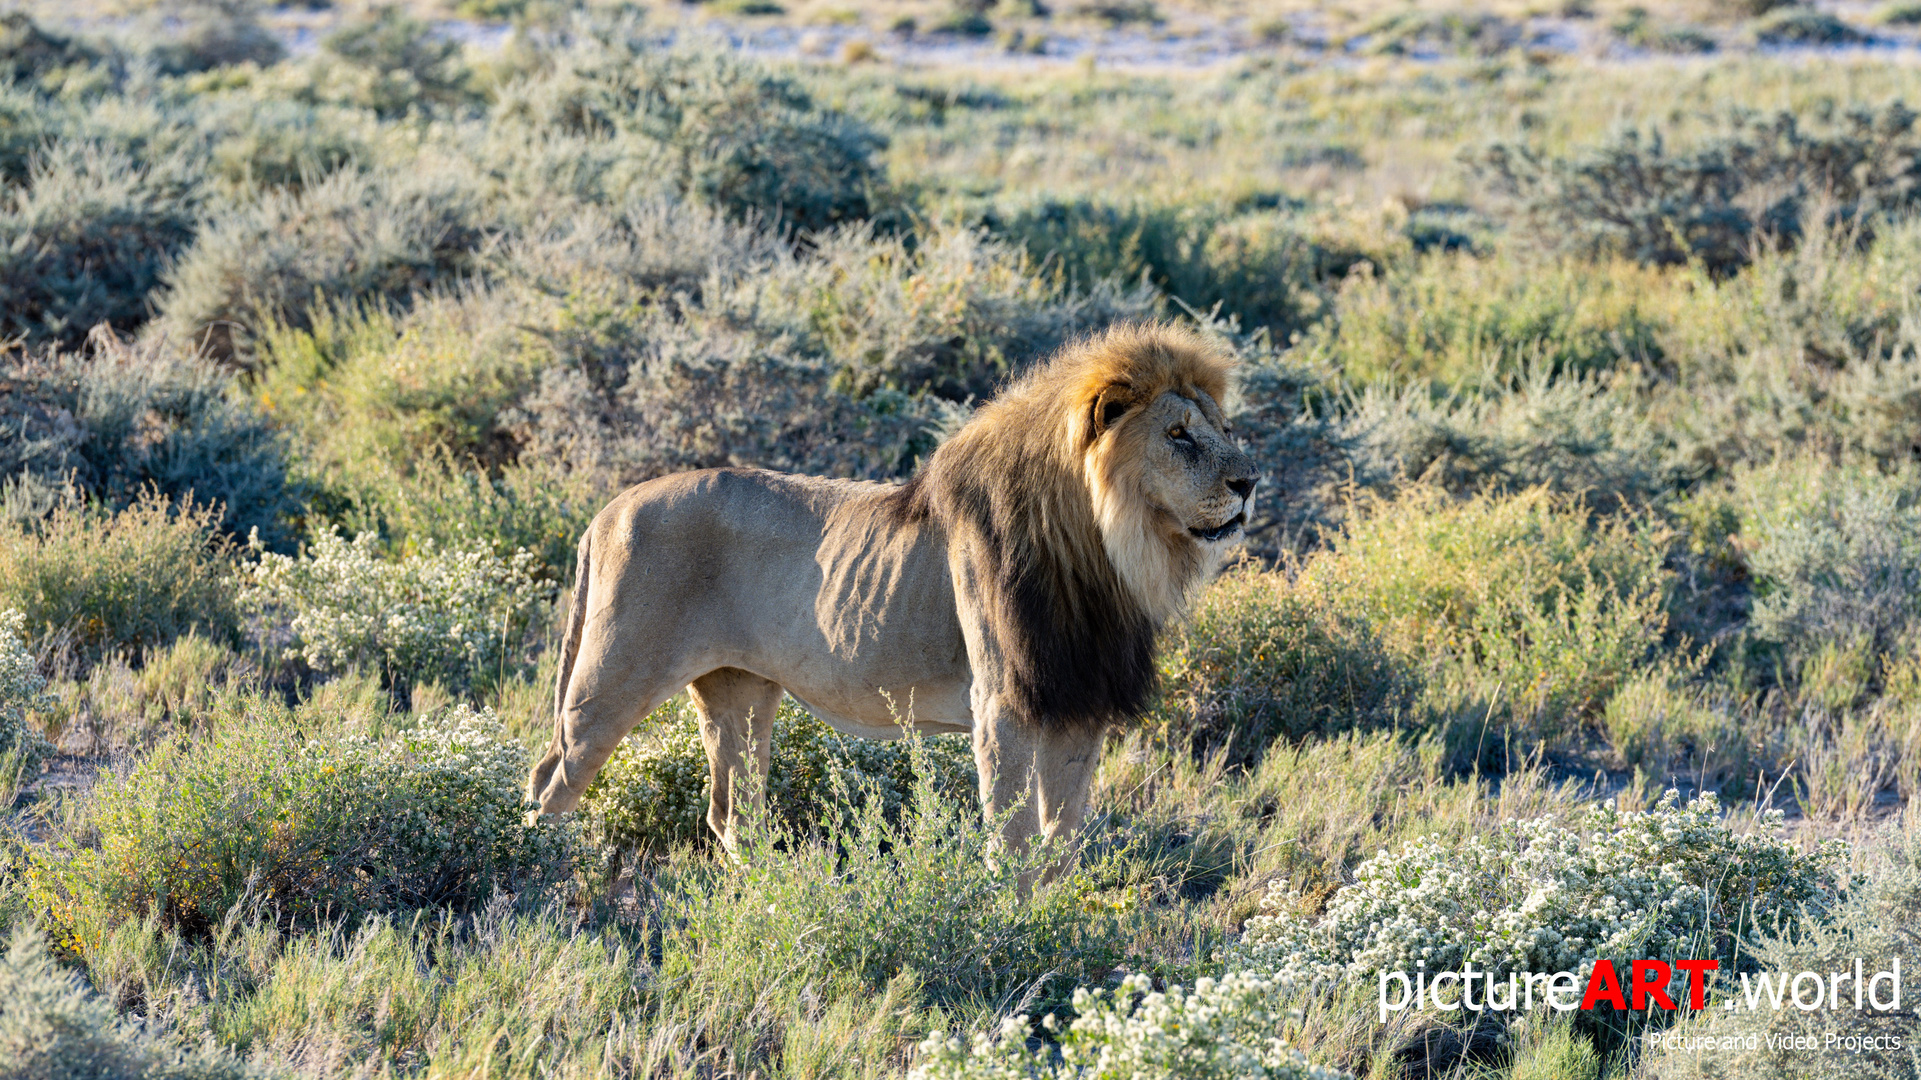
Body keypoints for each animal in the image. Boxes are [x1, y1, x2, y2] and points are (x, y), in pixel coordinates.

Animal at [526, 320, 1260, 864]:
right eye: (1177, 434)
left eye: (1225, 429)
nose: (1250, 481)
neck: (1102, 553)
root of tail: (608, 509)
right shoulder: (1004, 706)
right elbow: (1014, 846)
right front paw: (1011, 931)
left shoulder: (1078, 705)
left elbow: (1059, 847)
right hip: (610, 681)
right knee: (550, 785)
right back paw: (547, 881)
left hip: (739, 689)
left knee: (731, 813)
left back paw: (772, 901)